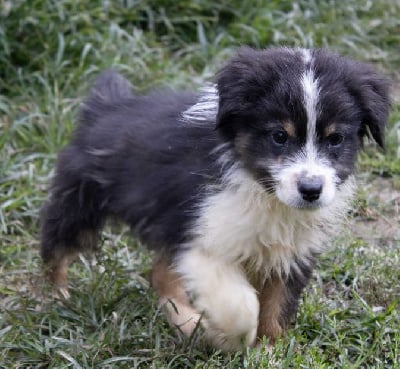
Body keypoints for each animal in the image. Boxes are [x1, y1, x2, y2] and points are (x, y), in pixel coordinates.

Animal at [39, 47, 390, 350]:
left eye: (336, 139)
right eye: (279, 136)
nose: (311, 190)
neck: (259, 186)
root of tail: (105, 106)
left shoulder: (292, 250)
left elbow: (278, 305)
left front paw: (268, 350)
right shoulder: (202, 237)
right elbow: (241, 304)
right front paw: (228, 337)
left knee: (159, 274)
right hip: (80, 200)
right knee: (56, 247)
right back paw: (54, 298)